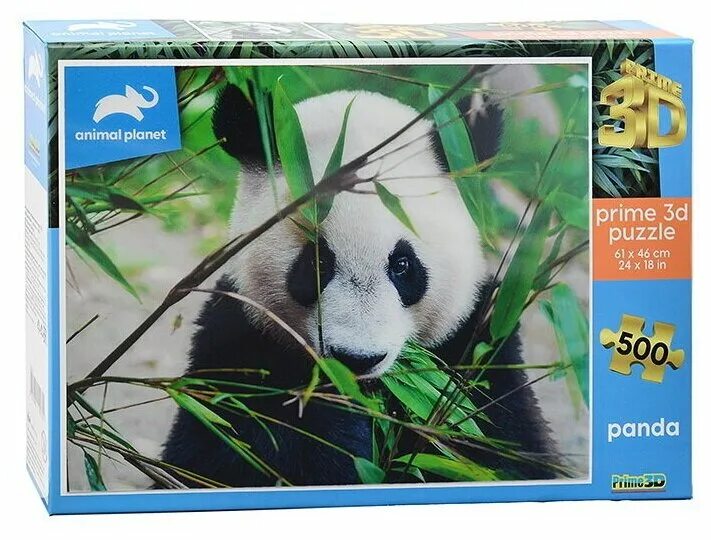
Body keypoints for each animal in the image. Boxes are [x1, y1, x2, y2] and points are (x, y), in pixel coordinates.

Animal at [161, 80, 559, 488]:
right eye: (318, 262)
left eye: (403, 265)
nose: (357, 359)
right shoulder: (239, 340)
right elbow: (229, 446)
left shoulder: (476, 348)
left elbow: (496, 449)